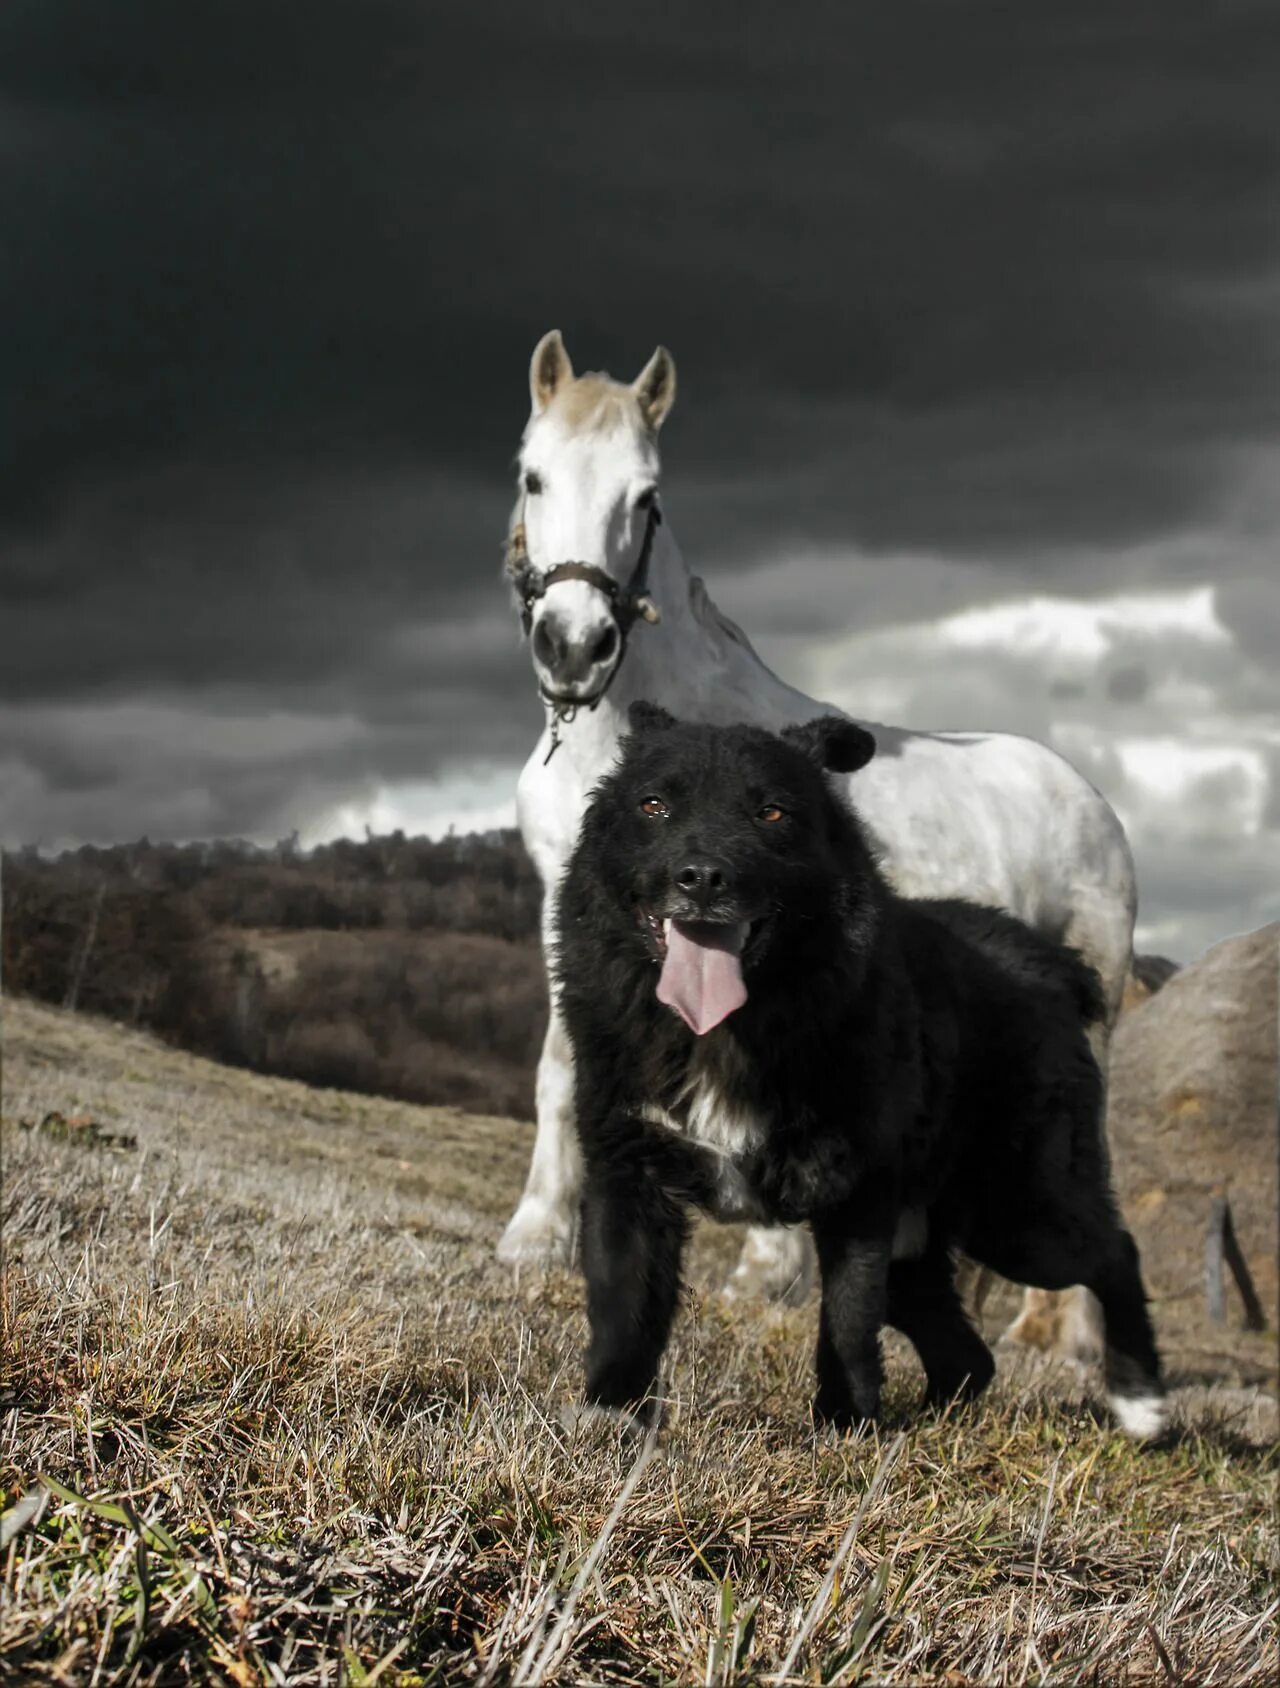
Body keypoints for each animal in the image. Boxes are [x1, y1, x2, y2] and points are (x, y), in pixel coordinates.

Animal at [496, 329, 1134, 1350]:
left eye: (648, 496)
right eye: (534, 477)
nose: (575, 644)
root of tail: (1090, 800)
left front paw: (765, 1269)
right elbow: (563, 1070)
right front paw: (535, 1241)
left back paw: (1070, 1348)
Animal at [557, 698, 1168, 1438]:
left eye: (772, 812)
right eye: (653, 805)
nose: (701, 878)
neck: (731, 1026)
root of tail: (1048, 964)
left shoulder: (856, 1191)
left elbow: (846, 1319)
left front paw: (843, 1423)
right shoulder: (629, 1172)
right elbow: (624, 1308)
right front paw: (610, 1414)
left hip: (1021, 1213)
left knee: (1116, 1254)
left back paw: (1141, 1403)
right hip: (929, 1244)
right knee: (969, 1356)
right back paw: (937, 1423)